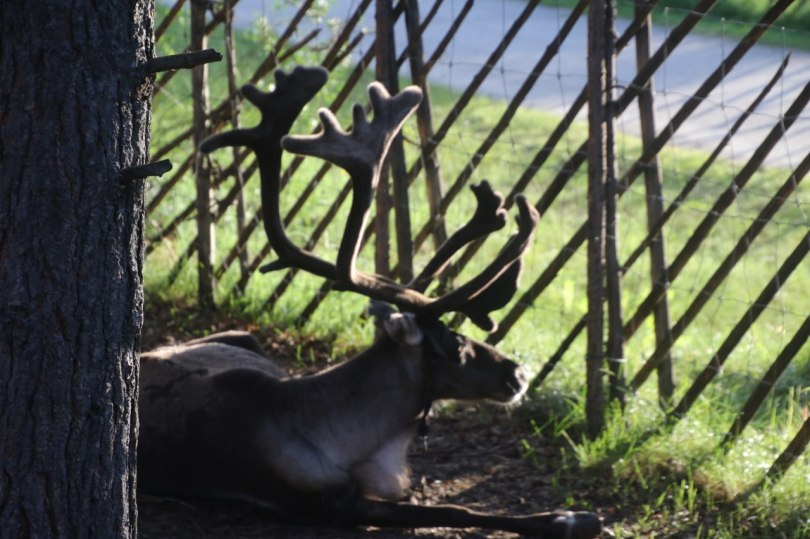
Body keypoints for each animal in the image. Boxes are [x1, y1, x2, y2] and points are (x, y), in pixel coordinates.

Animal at [138, 66, 602, 538]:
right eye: (454, 345)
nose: (519, 372)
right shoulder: (327, 504)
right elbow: (455, 510)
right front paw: (571, 518)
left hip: (242, 335)